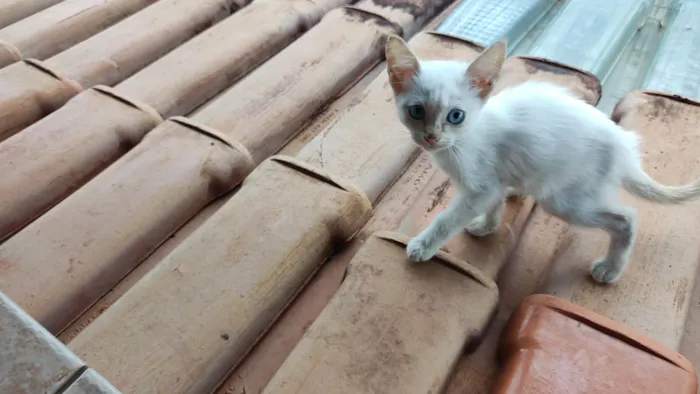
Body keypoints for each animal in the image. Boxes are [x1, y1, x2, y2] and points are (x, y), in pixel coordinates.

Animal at [386, 36, 700, 284]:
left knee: (626, 218)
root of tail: (625, 145)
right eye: (416, 111)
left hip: (563, 200)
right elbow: (495, 204)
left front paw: (423, 245)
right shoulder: (495, 179)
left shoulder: (481, 187)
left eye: (455, 116)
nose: (431, 137)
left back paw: (609, 269)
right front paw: (487, 227)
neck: (463, 142)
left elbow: (446, 220)